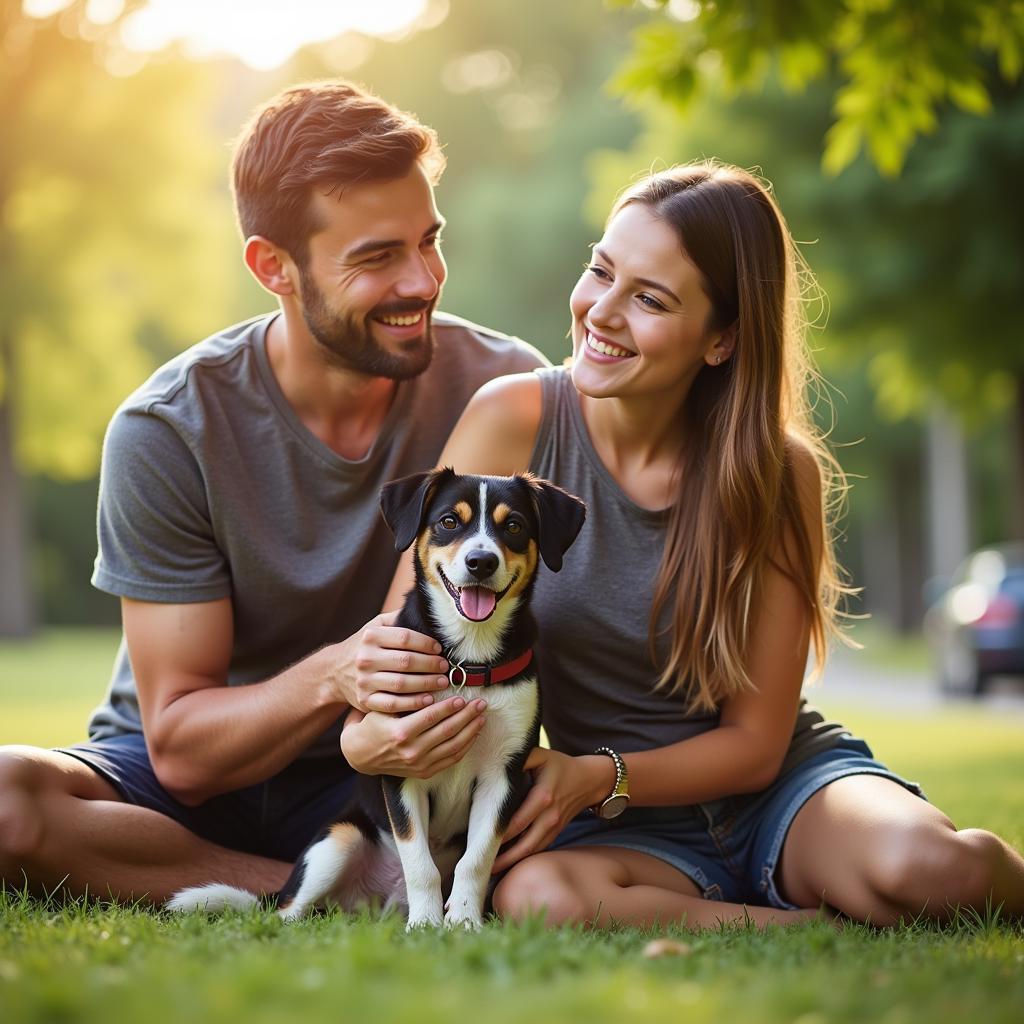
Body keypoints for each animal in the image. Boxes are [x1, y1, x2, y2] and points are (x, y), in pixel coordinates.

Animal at [167, 468, 585, 933]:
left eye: (513, 526)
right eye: (449, 522)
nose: (481, 562)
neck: (466, 662)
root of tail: (379, 905)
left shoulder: (503, 774)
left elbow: (474, 861)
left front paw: (463, 923)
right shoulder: (402, 764)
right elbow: (420, 862)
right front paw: (426, 927)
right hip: (339, 841)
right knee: (287, 913)